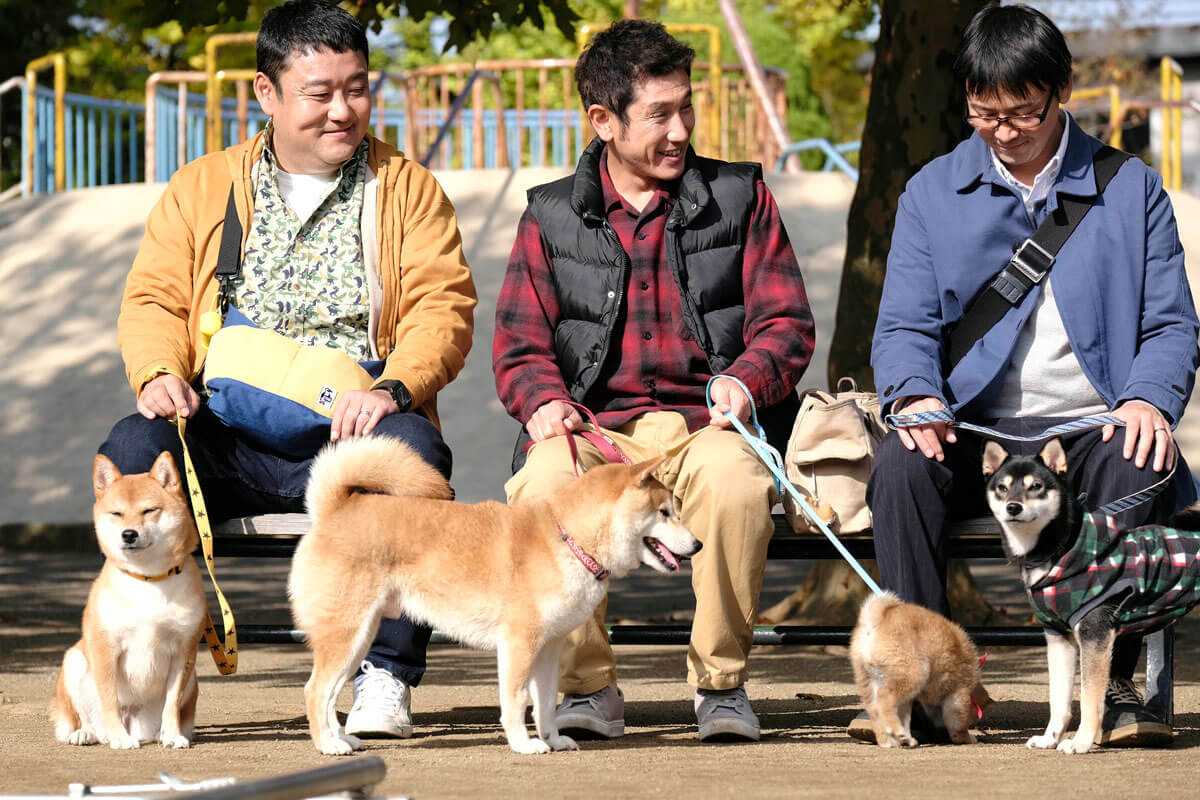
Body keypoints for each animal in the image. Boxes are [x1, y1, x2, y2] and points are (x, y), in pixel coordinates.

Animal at [50, 455, 206, 753]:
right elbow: (109, 699)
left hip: (192, 677)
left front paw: (172, 735)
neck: (148, 579)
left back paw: (163, 734)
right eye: (117, 514)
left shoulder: (184, 651)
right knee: (82, 719)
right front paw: (120, 739)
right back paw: (87, 733)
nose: (129, 534)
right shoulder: (105, 648)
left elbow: (172, 704)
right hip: (74, 661)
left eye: (149, 510)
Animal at [290, 438, 700, 758]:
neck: (567, 538)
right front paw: (523, 744)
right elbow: (516, 702)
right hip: (348, 633)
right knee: (314, 691)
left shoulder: (549, 648)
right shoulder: (519, 644)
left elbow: (545, 704)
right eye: (664, 513)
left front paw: (552, 739)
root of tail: (336, 509)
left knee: (329, 694)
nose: (697, 545)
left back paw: (342, 740)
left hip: (359, 638)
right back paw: (328, 745)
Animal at [849, 592, 988, 748]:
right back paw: (897, 732)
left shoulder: (918, 702)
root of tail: (874, 623)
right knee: (885, 698)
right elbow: (958, 725)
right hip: (914, 674)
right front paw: (967, 737)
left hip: (871, 682)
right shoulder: (958, 696)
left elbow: (908, 719)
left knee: (878, 712)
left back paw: (893, 740)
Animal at [984, 441, 1200, 753]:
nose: (1013, 506)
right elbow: (1058, 698)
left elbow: (1088, 698)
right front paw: (1050, 738)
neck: (1060, 550)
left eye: (1036, 486)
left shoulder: (1094, 634)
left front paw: (1081, 742)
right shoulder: (1059, 638)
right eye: (1002, 487)